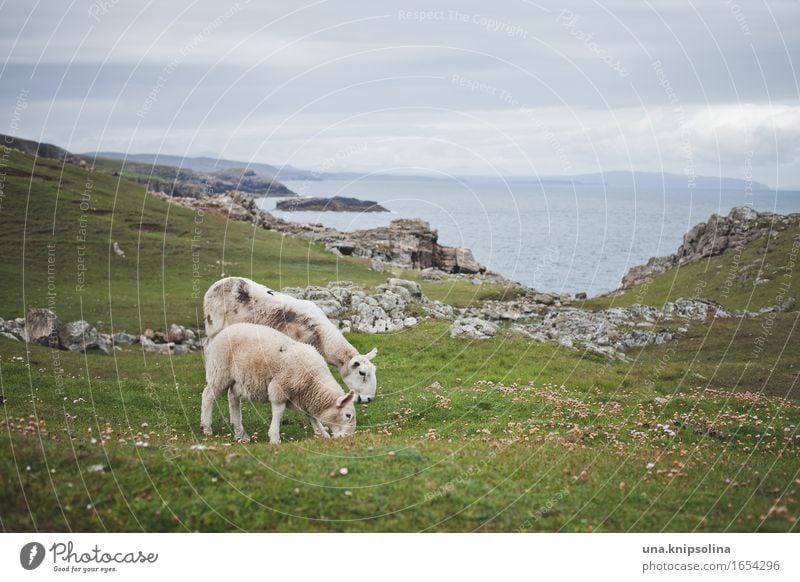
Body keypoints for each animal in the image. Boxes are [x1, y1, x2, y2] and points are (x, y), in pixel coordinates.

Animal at [202, 324, 358, 448]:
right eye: (348, 415)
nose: (349, 438)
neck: (313, 382)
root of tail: (224, 330)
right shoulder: (280, 388)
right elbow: (278, 412)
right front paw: (274, 438)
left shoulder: (303, 397)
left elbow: (311, 416)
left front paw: (322, 434)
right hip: (219, 371)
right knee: (208, 395)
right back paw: (206, 427)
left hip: (237, 380)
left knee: (233, 398)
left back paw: (240, 433)